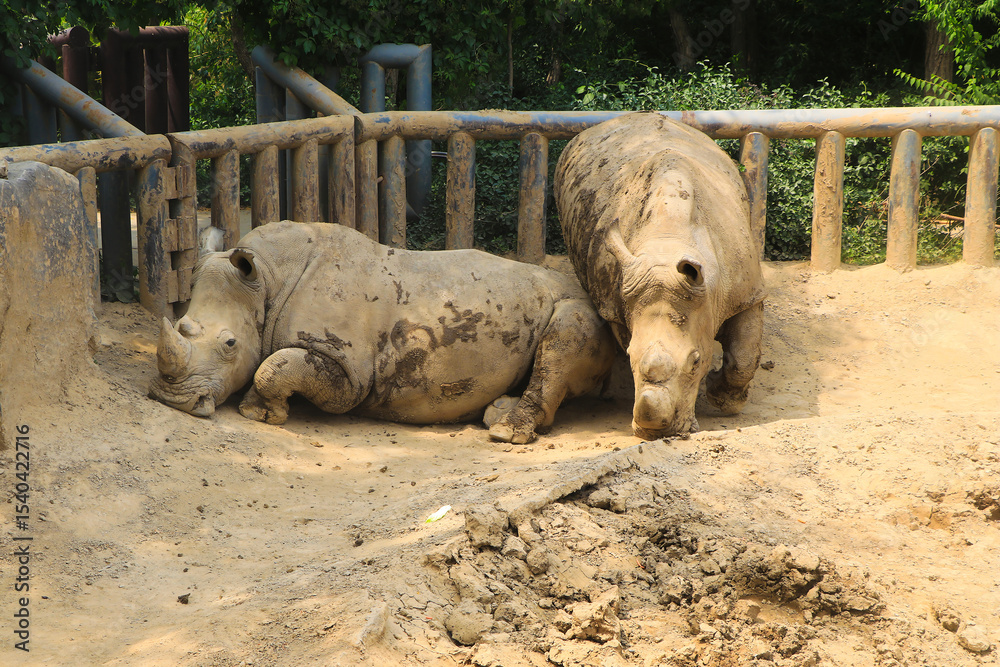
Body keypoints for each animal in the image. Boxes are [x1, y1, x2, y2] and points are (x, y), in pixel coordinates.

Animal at [148, 221, 616, 443]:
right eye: (182, 326)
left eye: (229, 344)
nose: (173, 400)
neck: (266, 280)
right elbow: (272, 364)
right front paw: (258, 409)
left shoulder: (349, 373)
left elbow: (275, 366)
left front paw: (260, 414)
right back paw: (496, 412)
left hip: (579, 305)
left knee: (567, 332)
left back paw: (503, 431)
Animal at [554, 112, 765, 439]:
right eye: (629, 356)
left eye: (696, 361)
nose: (655, 431)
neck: (669, 240)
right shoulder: (618, 301)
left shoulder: (747, 293)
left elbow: (744, 355)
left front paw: (725, 401)